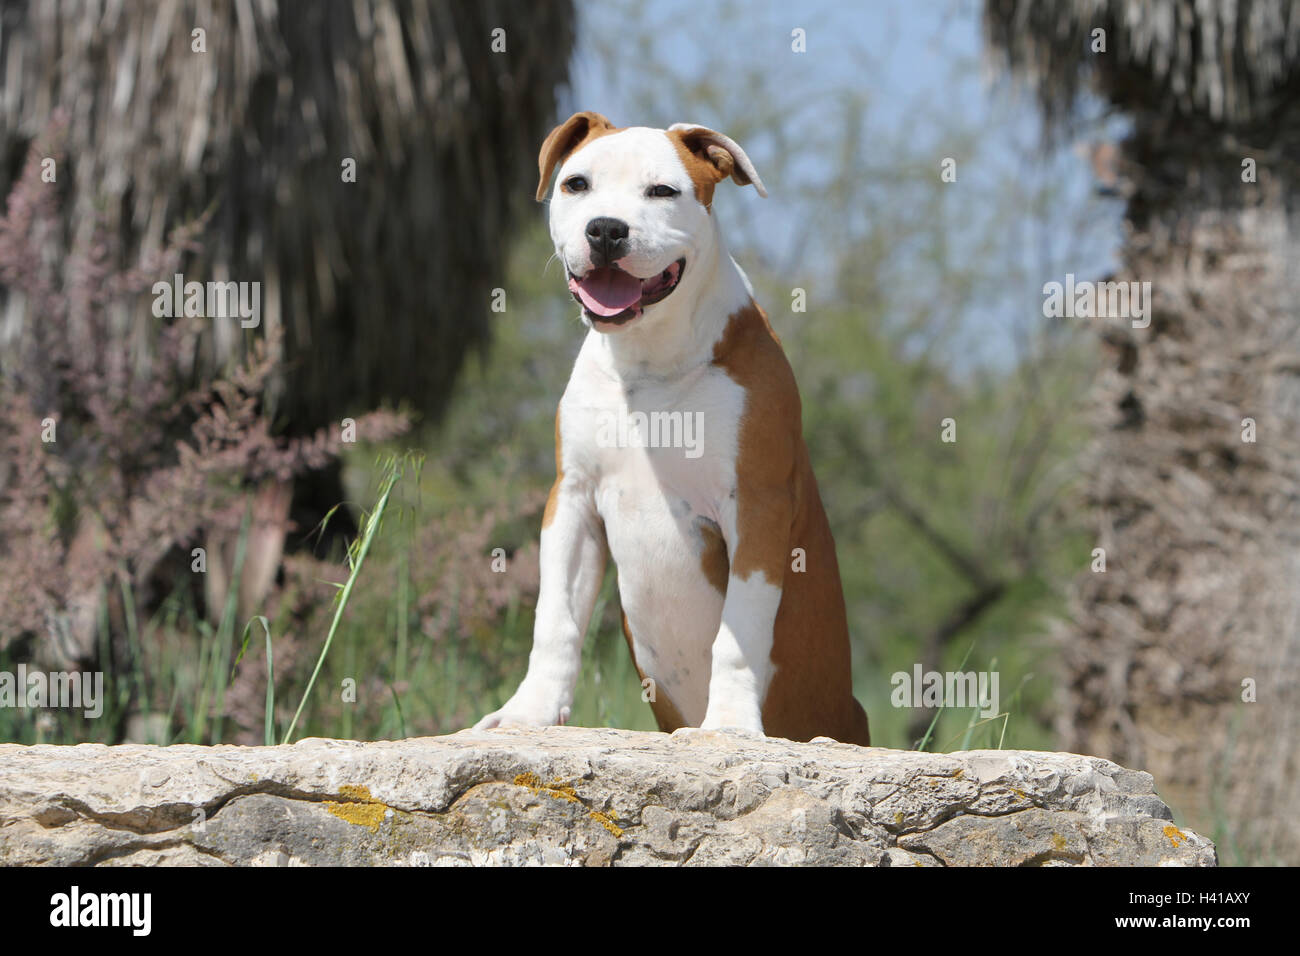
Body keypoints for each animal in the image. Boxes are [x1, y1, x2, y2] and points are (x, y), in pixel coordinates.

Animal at [473, 108, 868, 743]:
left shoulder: (756, 506)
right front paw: (528, 713)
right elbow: (554, 618)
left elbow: (738, 634)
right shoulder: (573, 500)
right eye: (576, 183)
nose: (606, 230)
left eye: (663, 191)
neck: (649, 360)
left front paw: (729, 725)